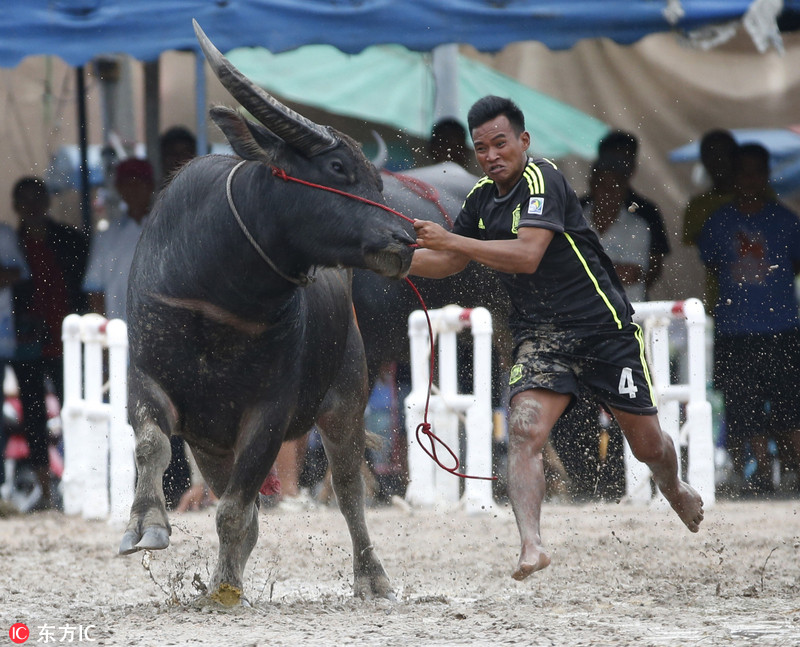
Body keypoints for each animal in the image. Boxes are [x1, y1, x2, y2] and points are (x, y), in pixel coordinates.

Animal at [120, 21, 418, 608]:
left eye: (376, 178)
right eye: (336, 168)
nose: (405, 239)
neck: (217, 295)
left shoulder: (270, 412)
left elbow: (234, 512)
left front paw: (223, 589)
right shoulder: (145, 379)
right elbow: (153, 445)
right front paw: (146, 526)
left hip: (347, 393)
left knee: (348, 490)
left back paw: (372, 577)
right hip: (212, 443)